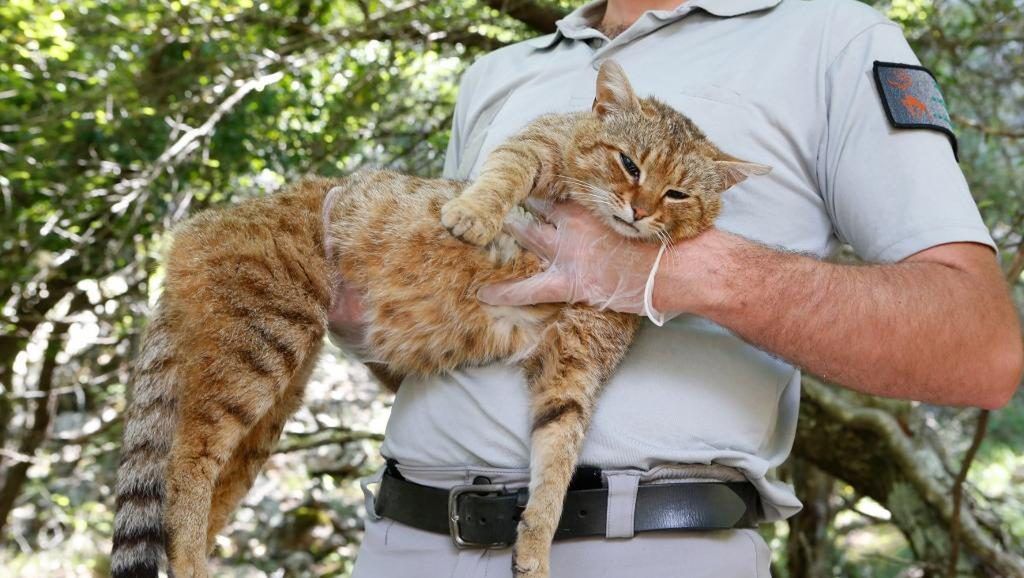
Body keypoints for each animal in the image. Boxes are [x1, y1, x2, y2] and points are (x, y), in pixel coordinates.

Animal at [112, 62, 770, 578]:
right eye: (629, 164)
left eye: (678, 194)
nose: (638, 211)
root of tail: (199, 227)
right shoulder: (537, 143)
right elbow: (503, 173)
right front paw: (472, 214)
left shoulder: (573, 365)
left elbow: (557, 460)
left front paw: (535, 547)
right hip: (260, 344)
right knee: (185, 461)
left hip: (270, 399)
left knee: (198, 487)